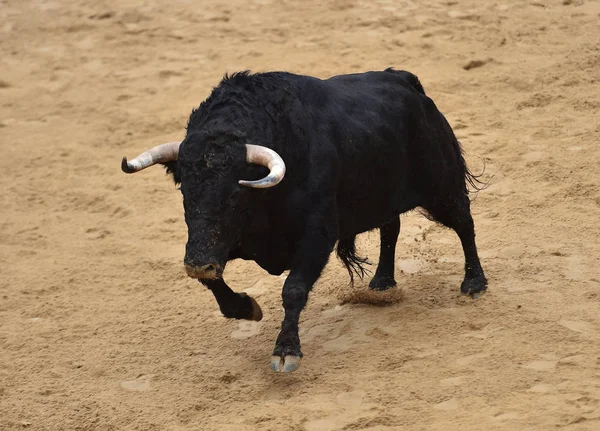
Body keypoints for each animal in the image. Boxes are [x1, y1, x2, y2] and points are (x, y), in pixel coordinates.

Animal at [120, 69, 488, 372]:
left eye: (234, 194)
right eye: (186, 192)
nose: (197, 264)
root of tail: (405, 80)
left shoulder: (317, 235)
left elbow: (293, 289)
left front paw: (286, 352)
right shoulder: (225, 241)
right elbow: (217, 284)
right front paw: (247, 308)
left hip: (441, 184)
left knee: (464, 222)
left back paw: (474, 282)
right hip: (384, 194)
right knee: (391, 228)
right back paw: (382, 282)